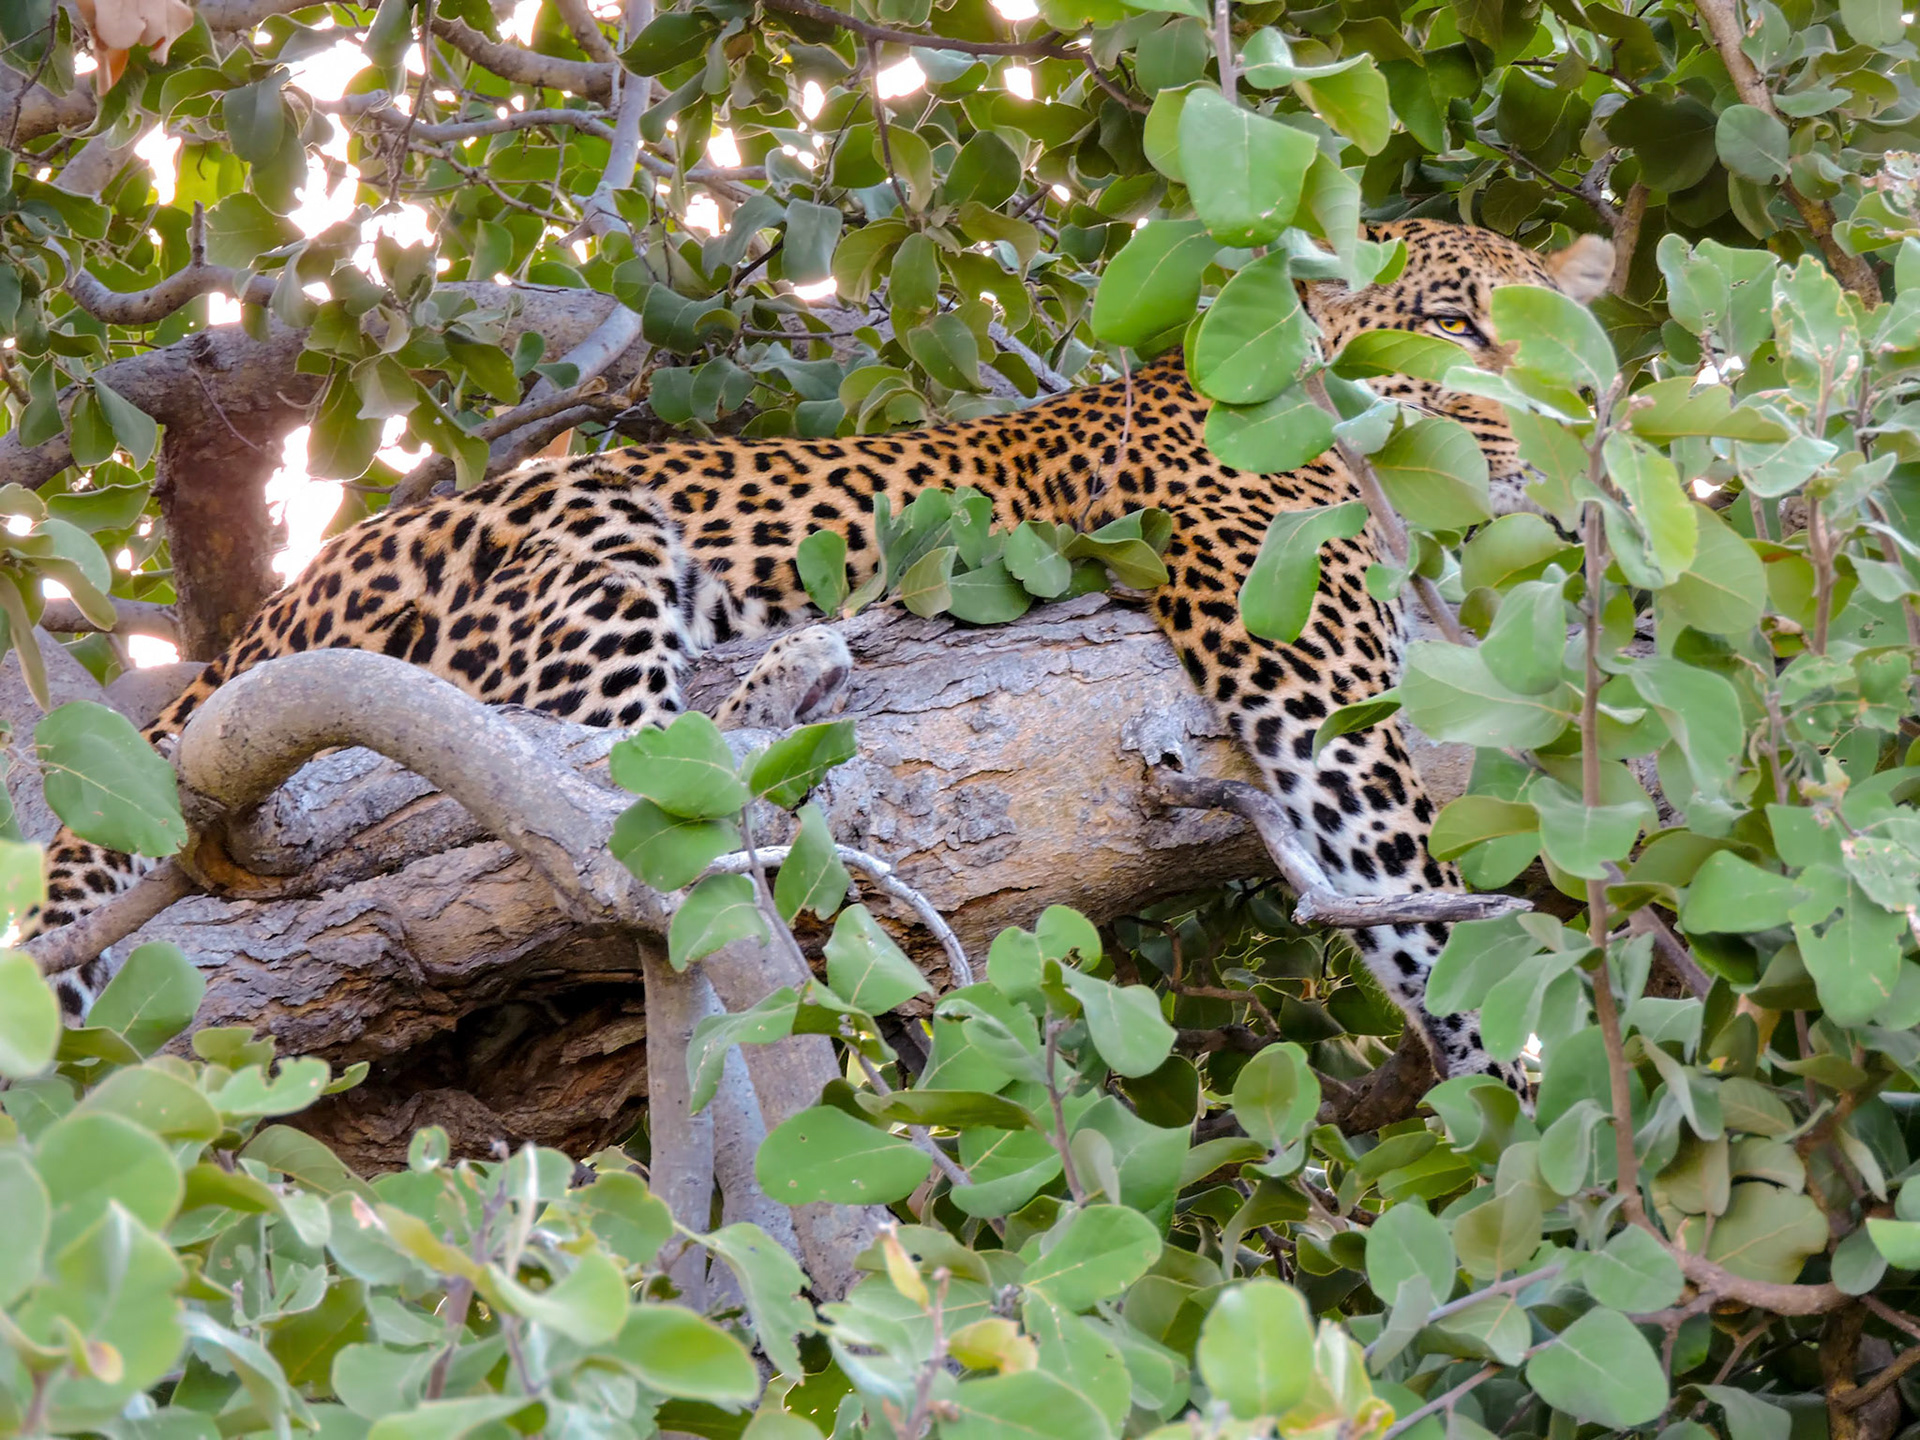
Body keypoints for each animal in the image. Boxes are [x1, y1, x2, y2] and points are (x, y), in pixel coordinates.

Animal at [32, 217, 1614, 1086]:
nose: (1566, 425)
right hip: (589, 535)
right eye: (1458, 324)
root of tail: (290, 598)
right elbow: (1412, 883)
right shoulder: (1304, 662)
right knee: (582, 796)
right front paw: (1525, 1105)